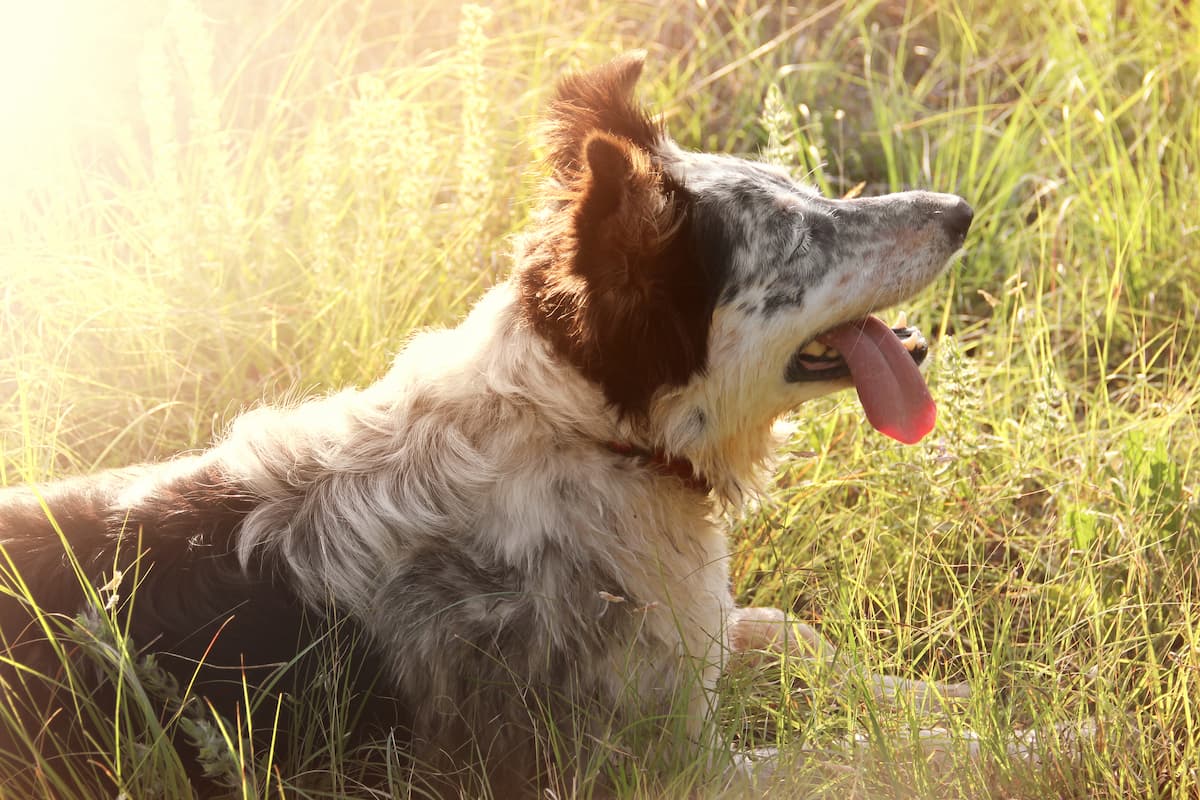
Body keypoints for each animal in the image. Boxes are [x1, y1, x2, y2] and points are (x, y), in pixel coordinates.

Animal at [0, 53, 969, 796]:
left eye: (812, 194)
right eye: (800, 235)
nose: (961, 211)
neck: (585, 430)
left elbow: (792, 633)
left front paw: (947, 695)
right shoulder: (657, 767)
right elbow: (852, 758)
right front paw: (995, 738)